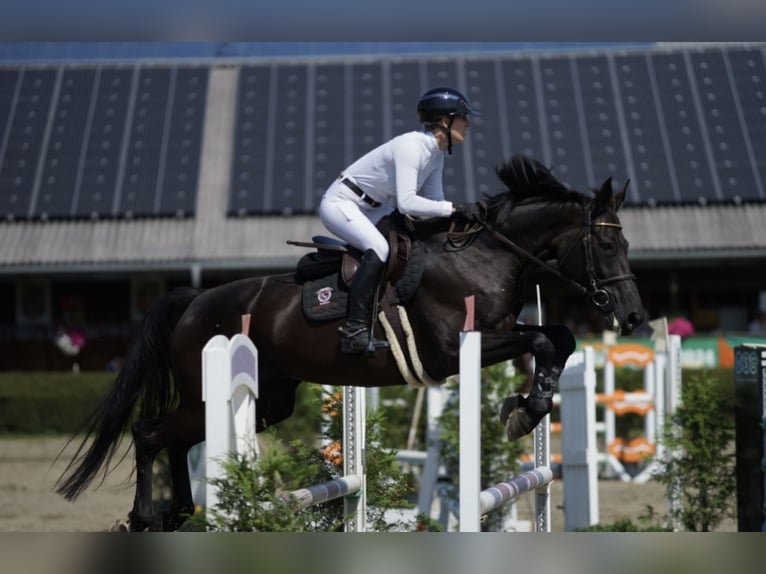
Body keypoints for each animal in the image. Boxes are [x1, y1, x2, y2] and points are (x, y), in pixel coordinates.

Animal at [54, 153, 644, 532]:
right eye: (606, 245)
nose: (634, 315)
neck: (485, 255)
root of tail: (196, 299)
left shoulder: (498, 333)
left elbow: (557, 338)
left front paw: (527, 405)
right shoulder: (456, 349)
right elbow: (544, 342)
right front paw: (524, 409)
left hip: (269, 401)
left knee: (176, 438)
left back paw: (179, 512)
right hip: (219, 388)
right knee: (149, 432)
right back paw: (145, 517)